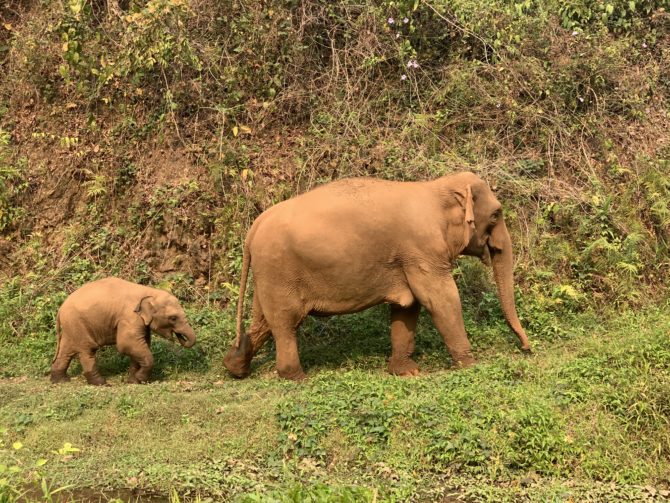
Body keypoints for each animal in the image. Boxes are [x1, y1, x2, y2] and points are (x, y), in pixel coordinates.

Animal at [50, 278, 197, 388]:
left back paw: (60, 381)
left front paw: (133, 381)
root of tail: (60, 309)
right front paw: (140, 379)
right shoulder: (129, 317)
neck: (149, 292)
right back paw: (102, 384)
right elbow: (126, 344)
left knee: (66, 350)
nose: (180, 337)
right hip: (78, 324)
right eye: (173, 318)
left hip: (71, 326)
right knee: (87, 350)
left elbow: (142, 344)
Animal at [223, 171, 532, 380]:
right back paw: (296, 376)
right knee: (286, 323)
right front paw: (470, 366)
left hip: (268, 273)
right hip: (280, 271)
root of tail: (255, 226)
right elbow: (440, 298)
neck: (437, 187)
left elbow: (408, 306)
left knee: (264, 322)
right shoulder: (422, 249)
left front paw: (406, 372)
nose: (526, 349)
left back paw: (235, 367)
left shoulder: (408, 256)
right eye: (496, 215)